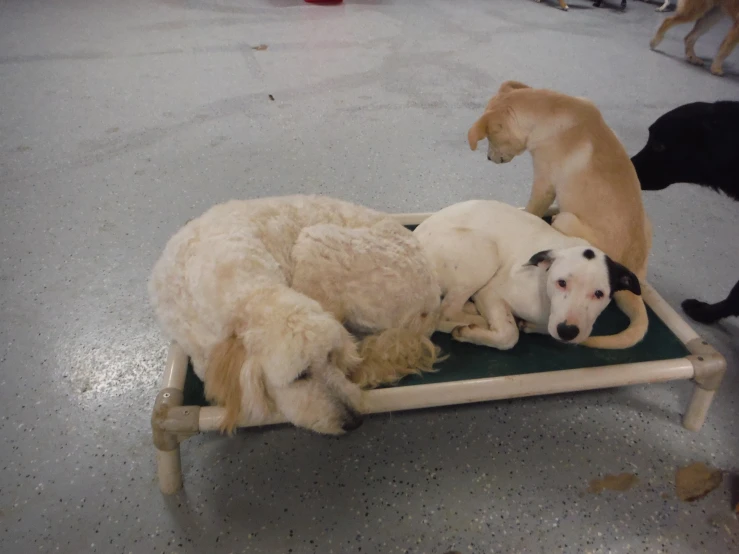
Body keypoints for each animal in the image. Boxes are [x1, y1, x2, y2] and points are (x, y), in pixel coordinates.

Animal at [416, 199, 640, 350]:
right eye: (561, 283)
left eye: (599, 294)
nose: (567, 331)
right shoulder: (490, 294)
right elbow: (509, 335)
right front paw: (473, 332)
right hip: (486, 250)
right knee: (445, 312)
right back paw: (473, 320)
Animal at [468, 81, 652, 350]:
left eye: (491, 138)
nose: (489, 158)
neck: (550, 109)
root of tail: (635, 271)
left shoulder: (544, 184)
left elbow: (533, 209)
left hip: (567, 219)